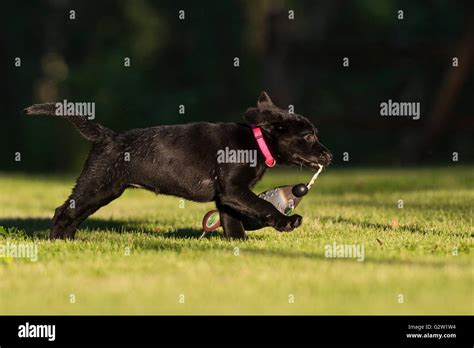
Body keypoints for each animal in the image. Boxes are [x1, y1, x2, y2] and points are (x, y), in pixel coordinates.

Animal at [24, 91, 332, 241]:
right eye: (308, 136)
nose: (329, 156)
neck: (257, 141)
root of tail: (107, 136)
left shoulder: (228, 195)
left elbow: (231, 221)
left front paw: (238, 244)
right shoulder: (235, 190)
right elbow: (263, 205)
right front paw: (286, 223)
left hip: (104, 189)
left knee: (75, 212)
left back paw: (70, 240)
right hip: (98, 183)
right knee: (64, 210)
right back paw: (56, 241)